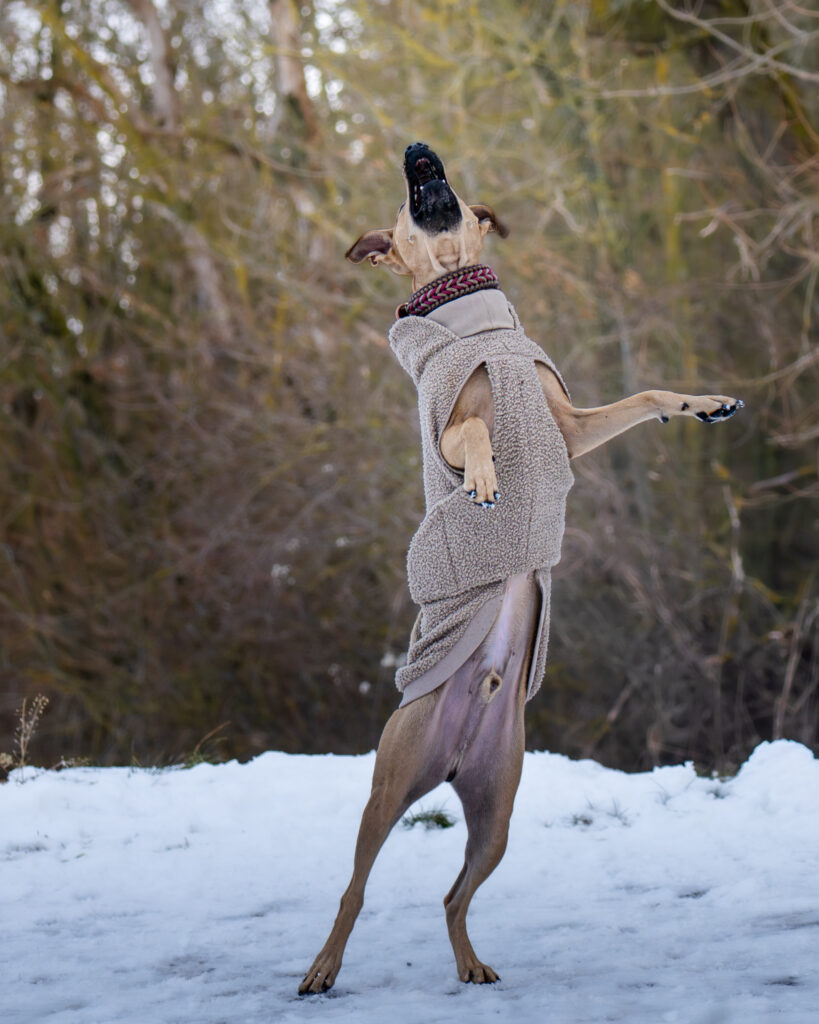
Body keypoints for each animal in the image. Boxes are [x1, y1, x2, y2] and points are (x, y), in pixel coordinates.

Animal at [298, 142, 743, 993]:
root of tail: (450, 756)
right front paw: (481, 481)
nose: (418, 153)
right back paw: (321, 969)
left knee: (452, 894)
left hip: (497, 811)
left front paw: (702, 403)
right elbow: (471, 434)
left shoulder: (565, 424)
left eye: (441, 175)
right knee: (352, 887)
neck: (461, 298)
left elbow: (646, 394)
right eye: (405, 197)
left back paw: (470, 964)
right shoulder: (450, 420)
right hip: (387, 788)